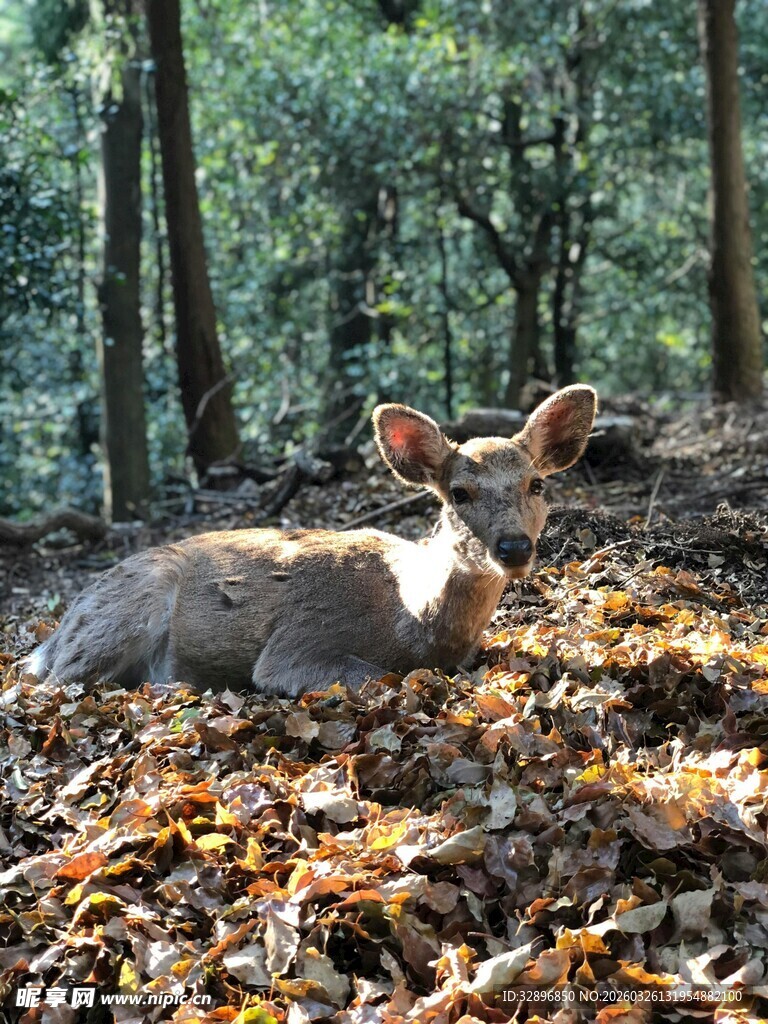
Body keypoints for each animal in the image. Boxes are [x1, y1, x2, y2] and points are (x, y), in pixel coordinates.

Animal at [26, 385, 596, 698]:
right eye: (458, 492)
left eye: (536, 484)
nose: (514, 548)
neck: (413, 620)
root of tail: (51, 637)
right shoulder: (298, 643)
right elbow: (373, 675)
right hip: (122, 609)